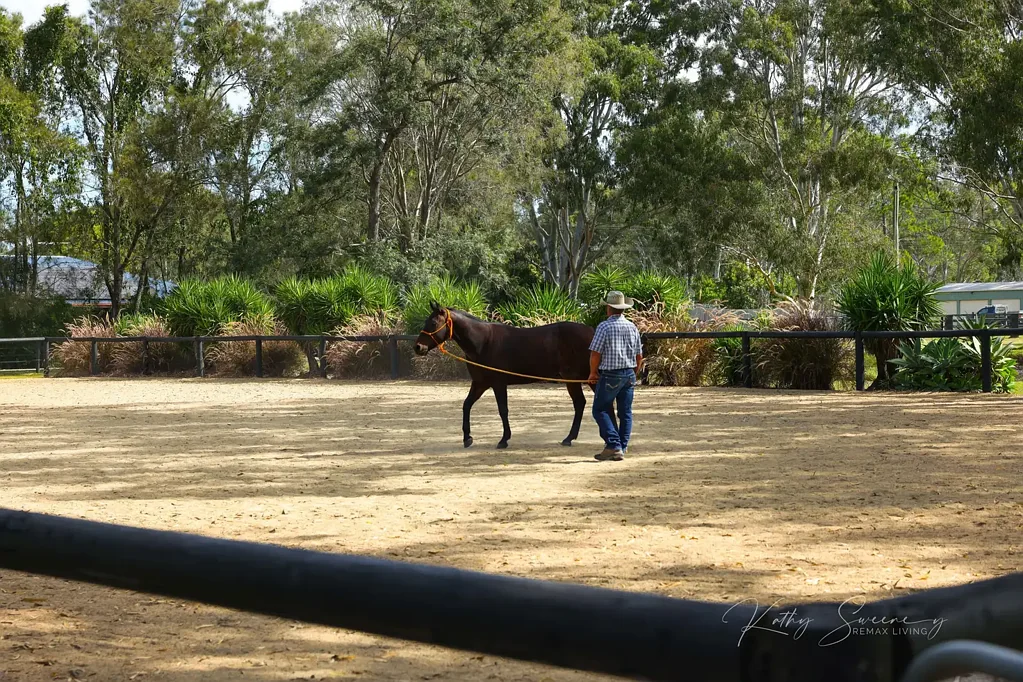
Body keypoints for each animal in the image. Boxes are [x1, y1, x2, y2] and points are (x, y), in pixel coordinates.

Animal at [414, 301, 595, 450]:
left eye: (433, 323)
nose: (418, 347)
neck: (483, 342)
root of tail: (592, 332)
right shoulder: (480, 383)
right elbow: (467, 405)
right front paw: (467, 438)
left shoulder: (498, 383)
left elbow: (503, 410)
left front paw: (503, 440)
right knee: (581, 403)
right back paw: (570, 438)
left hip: (578, 378)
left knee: (582, 403)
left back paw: (571, 438)